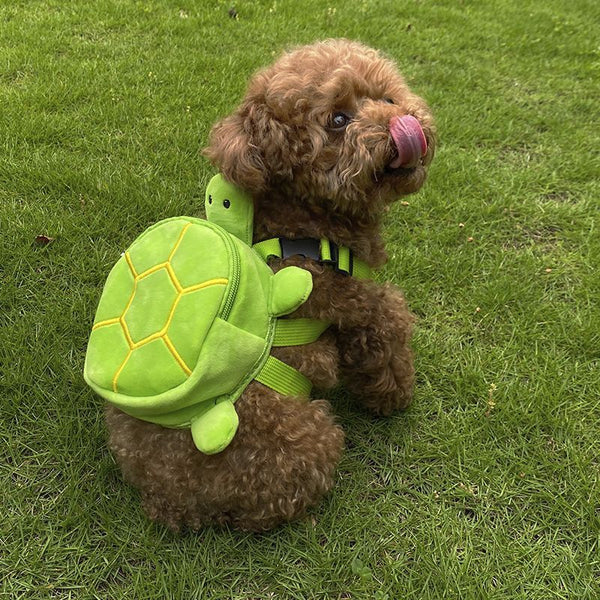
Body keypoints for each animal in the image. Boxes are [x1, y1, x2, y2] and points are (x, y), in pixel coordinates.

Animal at [106, 39, 436, 532]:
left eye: (387, 97)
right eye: (338, 120)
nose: (403, 124)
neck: (306, 221)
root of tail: (169, 504)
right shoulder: (364, 309)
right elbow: (388, 341)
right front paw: (394, 399)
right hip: (307, 441)